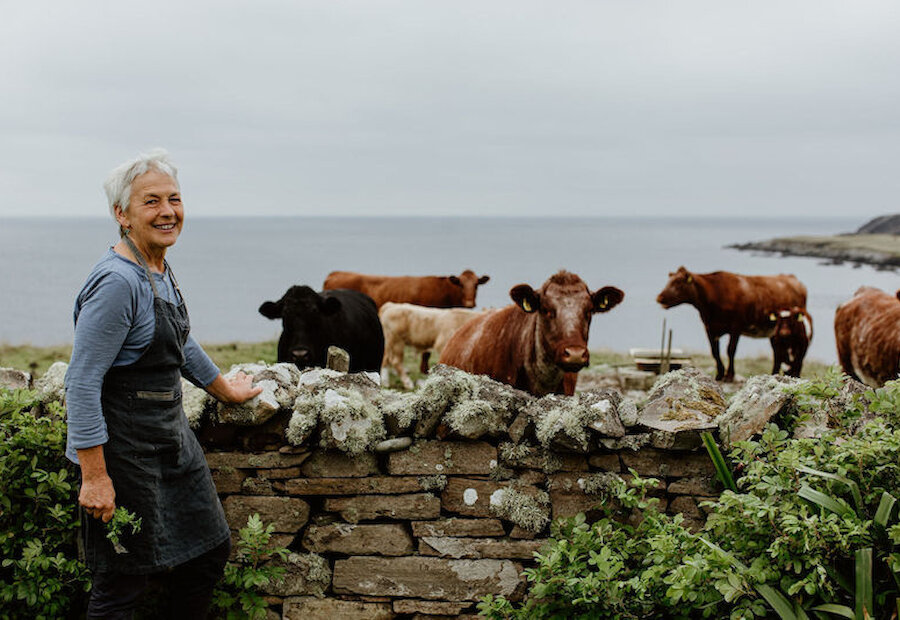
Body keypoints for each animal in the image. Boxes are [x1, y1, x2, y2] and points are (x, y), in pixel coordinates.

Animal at [652, 268, 808, 382]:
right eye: (669, 281)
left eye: (678, 283)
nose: (659, 297)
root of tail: (793, 278)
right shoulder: (710, 327)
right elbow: (715, 351)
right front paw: (719, 374)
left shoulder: (736, 327)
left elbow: (730, 350)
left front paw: (729, 375)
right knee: (778, 353)